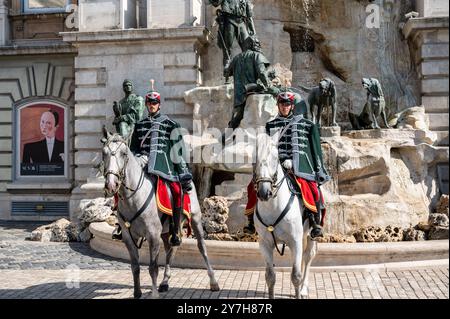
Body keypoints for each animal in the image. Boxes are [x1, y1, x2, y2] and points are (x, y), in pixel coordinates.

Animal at [102, 128, 221, 300]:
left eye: (124, 153)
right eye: (103, 153)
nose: (111, 184)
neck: (134, 197)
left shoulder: (153, 235)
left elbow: (153, 267)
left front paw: (153, 295)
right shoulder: (128, 237)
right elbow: (135, 266)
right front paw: (137, 293)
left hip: (196, 220)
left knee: (201, 247)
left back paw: (213, 282)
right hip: (167, 231)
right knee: (171, 249)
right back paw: (165, 282)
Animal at [255, 133, 318, 300]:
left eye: (275, 157)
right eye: (255, 158)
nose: (264, 192)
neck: (273, 206)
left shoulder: (294, 241)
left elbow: (295, 276)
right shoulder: (265, 244)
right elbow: (270, 276)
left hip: (311, 234)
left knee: (308, 256)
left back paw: (304, 289)